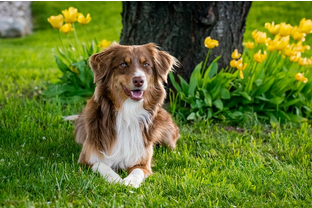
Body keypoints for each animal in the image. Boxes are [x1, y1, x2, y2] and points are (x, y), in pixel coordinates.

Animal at [73, 42, 179, 188]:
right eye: (123, 64)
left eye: (146, 64)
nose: (139, 80)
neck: (128, 112)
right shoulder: (86, 159)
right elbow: (102, 166)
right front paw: (116, 179)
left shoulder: (143, 162)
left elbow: (137, 172)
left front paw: (129, 182)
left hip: (168, 136)